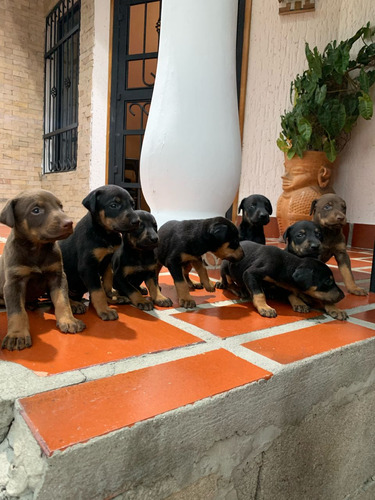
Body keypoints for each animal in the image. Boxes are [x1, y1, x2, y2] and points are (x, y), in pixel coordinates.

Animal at [0, 189, 86, 350]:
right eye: (36, 210)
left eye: (60, 206)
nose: (69, 223)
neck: (37, 249)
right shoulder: (13, 283)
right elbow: (16, 311)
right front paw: (17, 334)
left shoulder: (57, 276)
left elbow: (62, 300)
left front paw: (68, 320)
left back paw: (74, 303)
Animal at [59, 185, 140, 320]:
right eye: (114, 205)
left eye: (132, 204)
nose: (137, 221)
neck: (105, 234)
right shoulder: (88, 267)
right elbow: (98, 291)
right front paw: (104, 310)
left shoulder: (108, 262)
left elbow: (106, 284)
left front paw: (110, 298)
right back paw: (75, 304)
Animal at [217, 241, 350, 320]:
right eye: (328, 281)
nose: (343, 296)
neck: (286, 264)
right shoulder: (250, 274)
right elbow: (259, 293)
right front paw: (265, 307)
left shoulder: (285, 284)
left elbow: (292, 292)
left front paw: (335, 309)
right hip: (226, 266)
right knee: (228, 281)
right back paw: (236, 288)